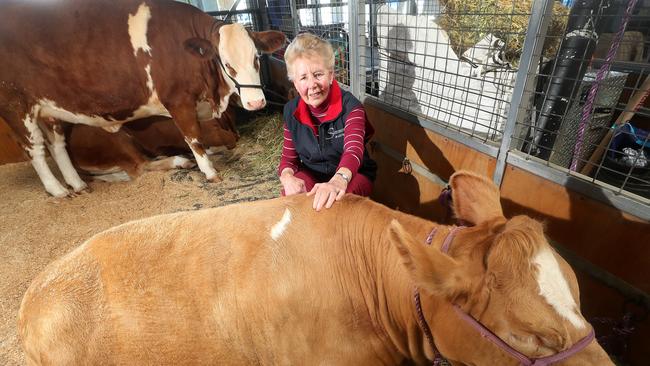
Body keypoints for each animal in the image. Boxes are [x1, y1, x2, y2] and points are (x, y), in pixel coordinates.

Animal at [0, 0, 284, 197]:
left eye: (257, 58)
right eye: (227, 64)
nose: (256, 103)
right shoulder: (178, 100)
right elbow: (194, 138)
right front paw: (210, 172)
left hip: (49, 110)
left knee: (57, 146)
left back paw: (78, 184)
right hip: (17, 107)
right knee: (36, 150)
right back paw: (58, 190)